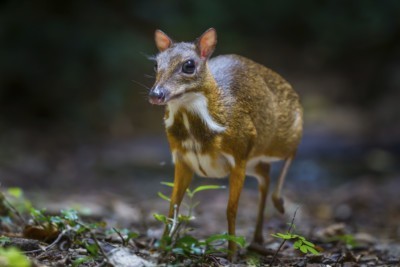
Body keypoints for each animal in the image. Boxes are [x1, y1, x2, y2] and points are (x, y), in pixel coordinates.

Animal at [148, 28, 302, 260]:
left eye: (189, 65)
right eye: (156, 64)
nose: (156, 94)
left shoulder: (239, 154)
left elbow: (231, 209)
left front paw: (231, 254)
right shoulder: (181, 158)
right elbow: (172, 205)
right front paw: (162, 248)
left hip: (283, 136)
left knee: (292, 151)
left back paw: (279, 204)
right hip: (254, 160)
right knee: (265, 174)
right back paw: (258, 237)